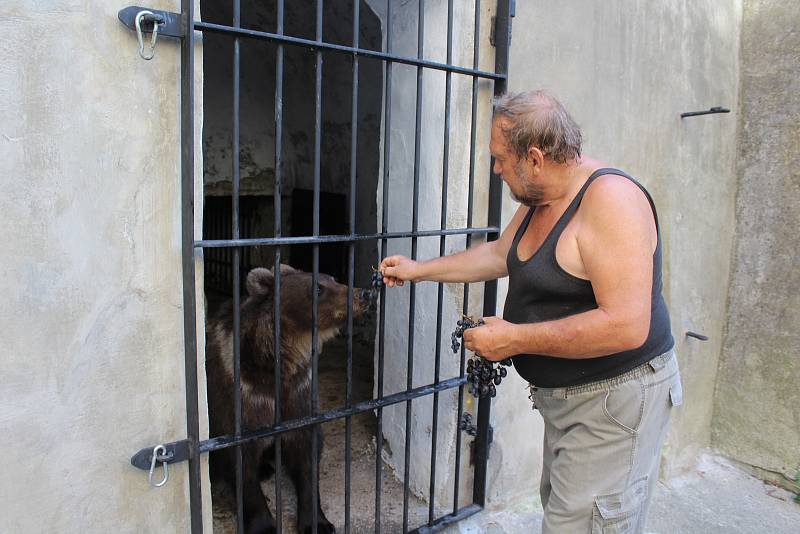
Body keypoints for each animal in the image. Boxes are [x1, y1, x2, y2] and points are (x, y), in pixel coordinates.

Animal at [206, 266, 368, 534]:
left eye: (333, 278)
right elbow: (241, 462)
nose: (363, 294)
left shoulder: (299, 393)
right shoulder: (243, 397)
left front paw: (318, 523)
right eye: (318, 288)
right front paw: (264, 526)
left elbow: (307, 455)